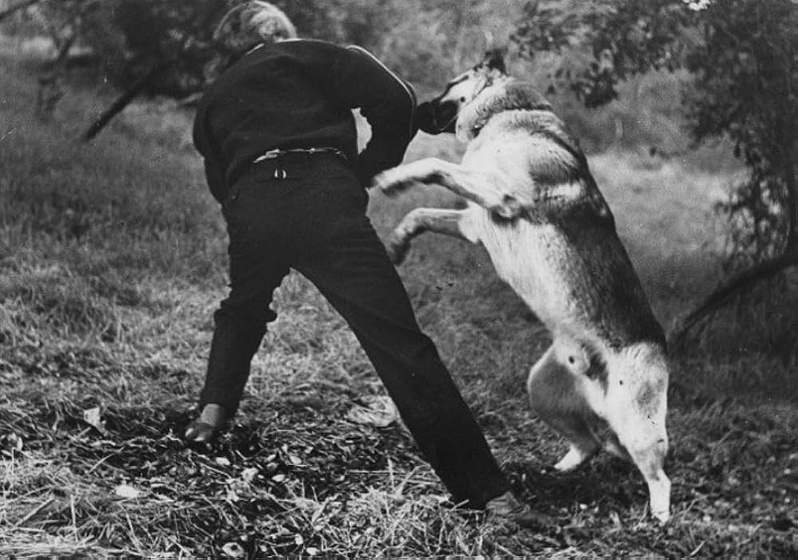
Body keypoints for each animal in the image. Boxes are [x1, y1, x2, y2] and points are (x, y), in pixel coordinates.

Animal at [374, 51, 672, 523]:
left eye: (449, 85)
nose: (416, 107)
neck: (506, 113)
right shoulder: (473, 221)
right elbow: (421, 211)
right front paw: (399, 241)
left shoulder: (501, 194)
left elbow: (435, 166)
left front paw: (395, 177)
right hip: (541, 393)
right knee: (589, 444)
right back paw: (557, 471)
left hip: (638, 427)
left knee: (659, 476)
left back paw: (658, 519)